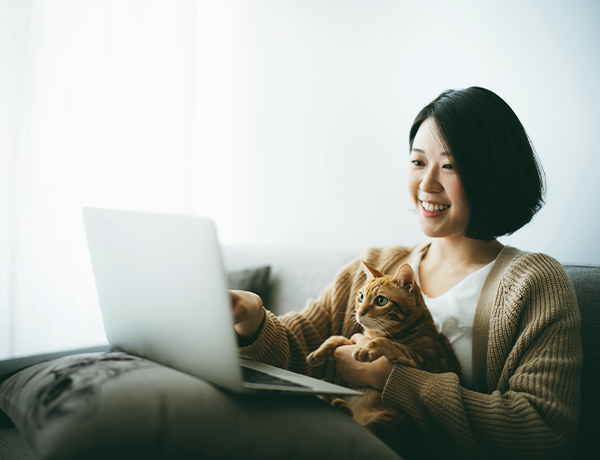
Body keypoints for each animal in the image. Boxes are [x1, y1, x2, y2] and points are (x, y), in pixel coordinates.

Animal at [308, 260, 462, 454]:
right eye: (360, 297)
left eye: (381, 301)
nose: (359, 313)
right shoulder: (354, 338)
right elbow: (340, 338)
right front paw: (319, 352)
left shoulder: (431, 364)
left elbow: (390, 344)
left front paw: (368, 348)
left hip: (392, 419)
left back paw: (342, 408)